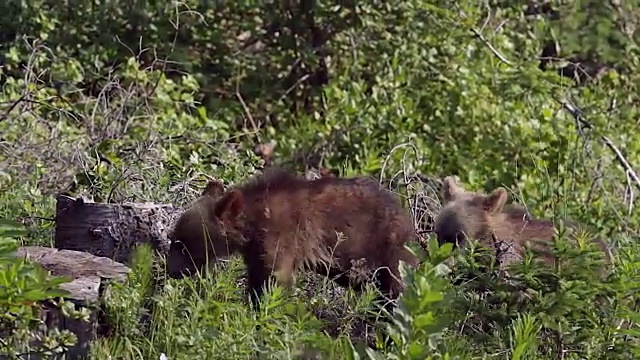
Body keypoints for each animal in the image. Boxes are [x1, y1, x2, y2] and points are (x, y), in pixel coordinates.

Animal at [165, 168, 420, 310]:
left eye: (183, 245)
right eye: (173, 238)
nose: (171, 270)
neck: (254, 220)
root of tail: (406, 215)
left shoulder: (282, 236)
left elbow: (276, 279)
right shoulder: (256, 250)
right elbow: (258, 278)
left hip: (384, 246)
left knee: (396, 283)